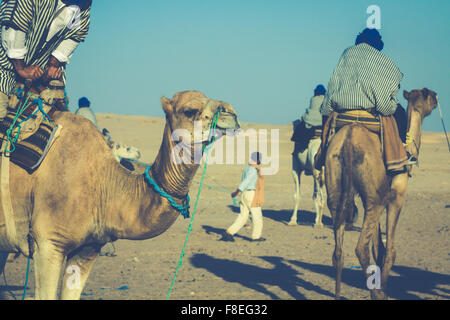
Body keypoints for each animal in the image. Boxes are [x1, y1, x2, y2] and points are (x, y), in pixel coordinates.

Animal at [326, 88, 438, 300]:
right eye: (428, 94)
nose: (436, 97)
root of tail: (349, 141)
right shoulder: (396, 197)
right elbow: (389, 250)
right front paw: (383, 288)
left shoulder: (372, 197)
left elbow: (378, 247)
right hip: (375, 199)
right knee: (360, 248)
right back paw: (378, 293)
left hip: (337, 185)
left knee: (338, 250)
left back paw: (338, 293)